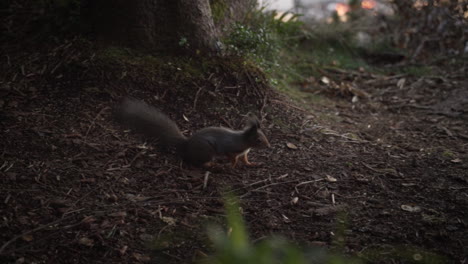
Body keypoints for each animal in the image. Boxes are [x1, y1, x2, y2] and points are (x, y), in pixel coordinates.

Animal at [115, 98, 270, 168]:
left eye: (264, 136)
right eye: (258, 140)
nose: (268, 146)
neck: (245, 141)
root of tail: (187, 144)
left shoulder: (244, 153)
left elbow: (245, 160)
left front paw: (253, 164)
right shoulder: (230, 149)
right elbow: (233, 158)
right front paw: (231, 166)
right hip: (207, 150)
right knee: (199, 162)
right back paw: (212, 165)